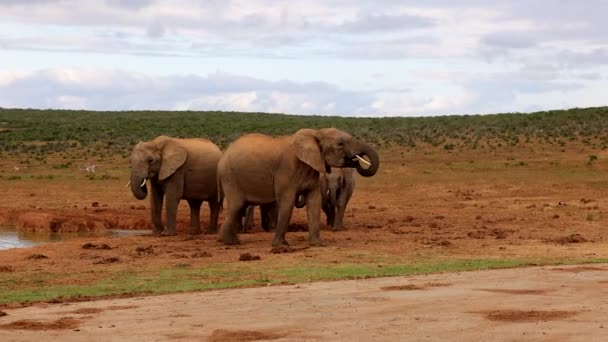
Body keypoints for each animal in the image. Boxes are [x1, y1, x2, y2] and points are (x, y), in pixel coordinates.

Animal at [218, 128, 380, 246]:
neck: (316, 133)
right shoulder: (286, 169)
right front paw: (280, 246)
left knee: (239, 207)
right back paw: (230, 242)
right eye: (340, 144)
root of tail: (224, 154)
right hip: (230, 177)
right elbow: (287, 201)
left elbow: (314, 201)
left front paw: (318, 244)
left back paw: (232, 241)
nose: (357, 160)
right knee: (237, 205)